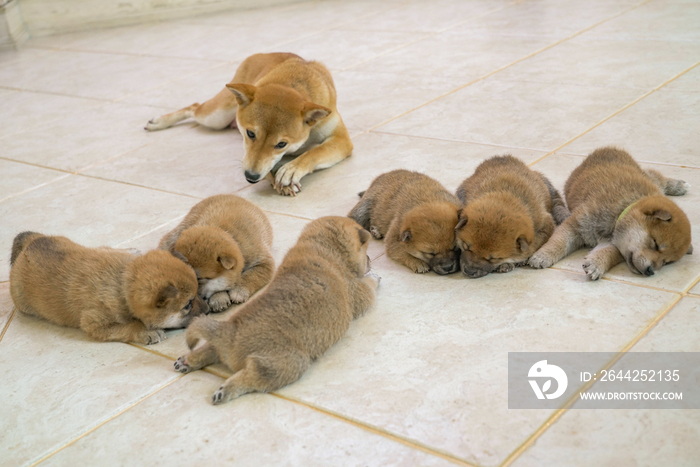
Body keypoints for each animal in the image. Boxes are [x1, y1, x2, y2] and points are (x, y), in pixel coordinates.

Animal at [9, 233, 208, 346]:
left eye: (198, 293)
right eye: (187, 305)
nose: (207, 311)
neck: (123, 284)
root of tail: (30, 243)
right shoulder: (94, 323)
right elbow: (132, 324)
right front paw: (146, 331)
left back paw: (132, 250)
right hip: (23, 303)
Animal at [145, 52, 352, 196]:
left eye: (281, 144)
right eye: (250, 134)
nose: (251, 177)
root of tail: (260, 54)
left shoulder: (341, 140)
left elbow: (314, 152)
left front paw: (291, 169)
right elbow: (261, 163)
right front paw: (276, 180)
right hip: (216, 116)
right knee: (194, 107)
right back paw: (159, 122)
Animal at [173, 218, 380, 404]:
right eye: (366, 252)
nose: (370, 260)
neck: (322, 248)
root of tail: (229, 334)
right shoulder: (360, 293)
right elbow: (369, 285)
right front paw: (375, 276)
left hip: (222, 339)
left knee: (209, 349)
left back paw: (187, 361)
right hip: (288, 363)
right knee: (252, 377)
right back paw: (225, 390)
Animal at [528, 146, 692, 280]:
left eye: (666, 262)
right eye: (655, 244)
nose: (650, 271)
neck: (621, 211)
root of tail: (609, 148)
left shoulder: (617, 244)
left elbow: (608, 253)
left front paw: (596, 264)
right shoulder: (576, 224)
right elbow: (559, 242)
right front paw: (542, 256)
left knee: (654, 175)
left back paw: (677, 185)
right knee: (654, 174)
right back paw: (679, 185)